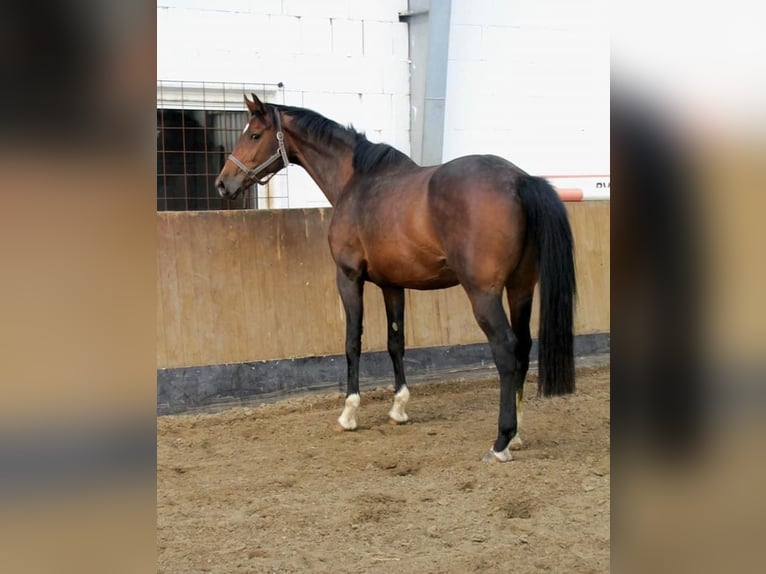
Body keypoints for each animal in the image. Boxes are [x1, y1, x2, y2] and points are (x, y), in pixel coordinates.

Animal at [215, 94, 576, 462]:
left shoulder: (348, 278)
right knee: (524, 348)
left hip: (484, 294)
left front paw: (349, 413)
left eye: (254, 135)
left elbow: (353, 343)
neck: (356, 181)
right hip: (521, 288)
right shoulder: (393, 285)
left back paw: (501, 441)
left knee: (505, 349)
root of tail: (518, 180)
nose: (223, 183)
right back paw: (516, 435)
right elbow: (395, 342)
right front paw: (399, 408)